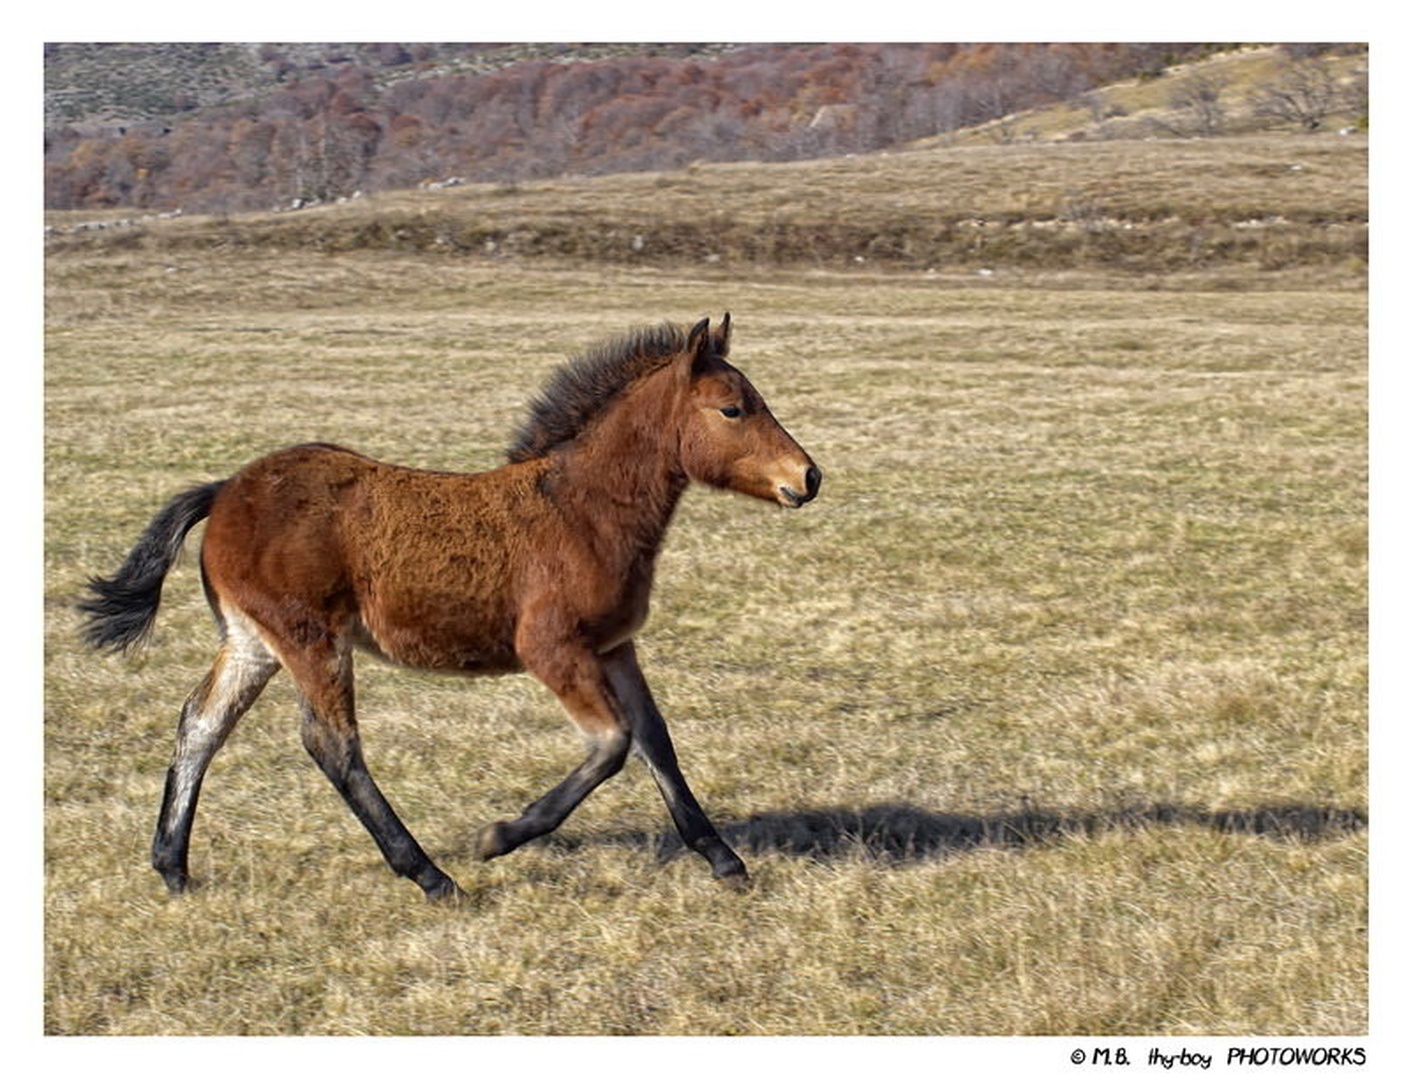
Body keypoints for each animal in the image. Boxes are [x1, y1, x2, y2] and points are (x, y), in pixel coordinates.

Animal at [79, 315, 821, 901]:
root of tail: (227, 489)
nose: (807, 477)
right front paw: (502, 835)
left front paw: (723, 859)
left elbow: (656, 743)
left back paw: (172, 867)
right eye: (733, 409)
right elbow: (611, 744)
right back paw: (432, 876)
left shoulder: (614, 647)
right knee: (332, 745)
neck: (578, 509)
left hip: (254, 642)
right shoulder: (552, 649)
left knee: (201, 725)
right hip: (311, 638)